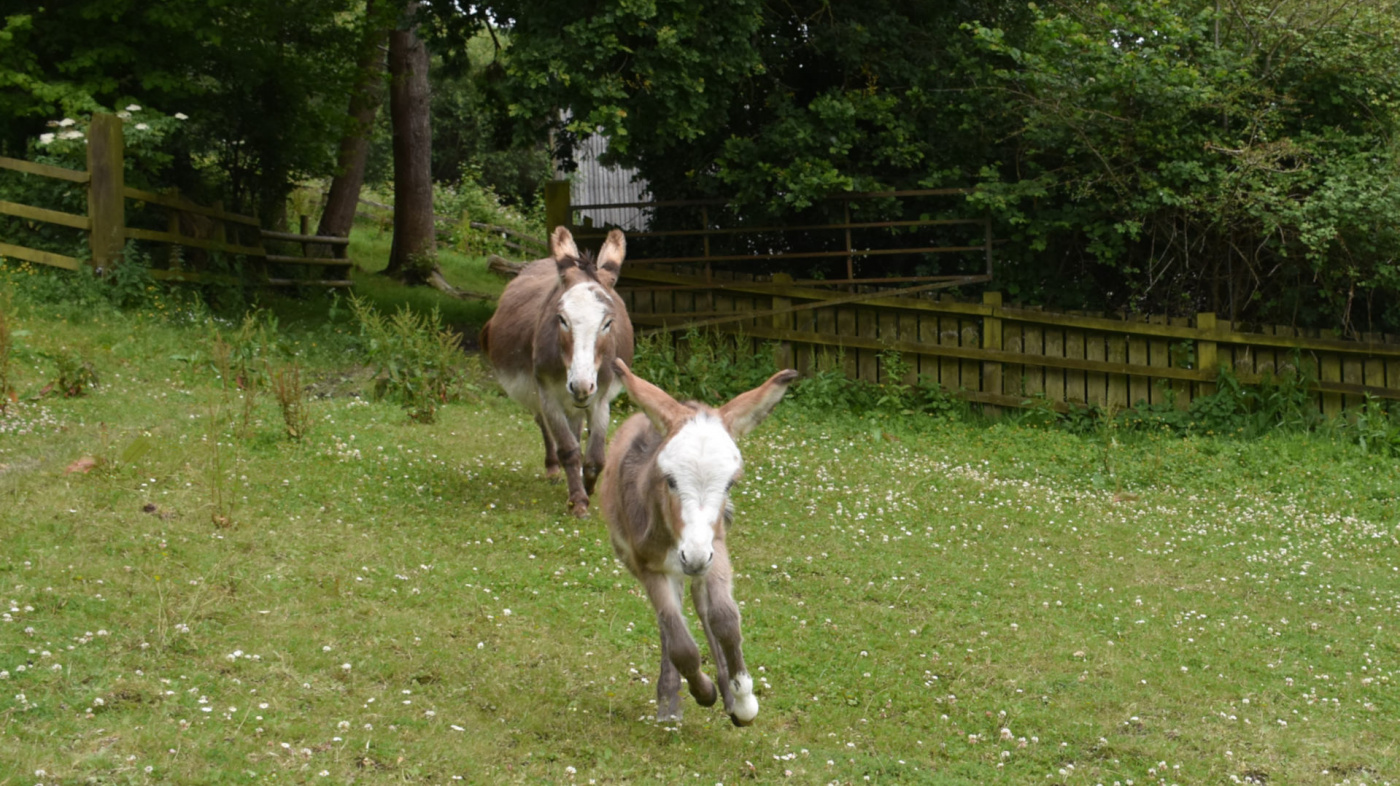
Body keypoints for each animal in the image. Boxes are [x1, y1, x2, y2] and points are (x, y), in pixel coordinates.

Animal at [599, 357, 800, 722]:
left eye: (731, 483)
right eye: (669, 479)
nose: (692, 557)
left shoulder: (715, 547)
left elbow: (725, 618)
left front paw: (743, 700)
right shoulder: (648, 565)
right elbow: (680, 643)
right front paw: (702, 691)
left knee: (701, 605)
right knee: (671, 620)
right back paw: (671, 698)